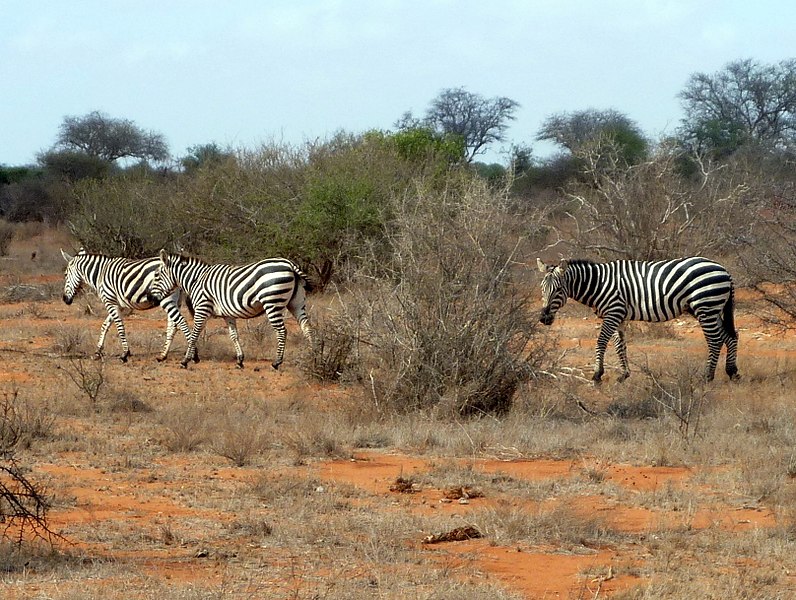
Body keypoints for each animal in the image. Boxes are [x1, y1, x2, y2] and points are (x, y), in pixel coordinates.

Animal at [60, 247, 194, 364]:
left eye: (65, 274)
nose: (65, 299)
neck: (100, 274)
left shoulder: (110, 301)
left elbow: (119, 326)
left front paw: (125, 353)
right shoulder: (117, 304)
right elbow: (105, 325)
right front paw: (98, 352)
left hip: (166, 299)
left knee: (181, 322)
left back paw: (191, 354)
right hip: (176, 301)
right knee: (173, 326)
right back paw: (163, 355)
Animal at [148, 250, 316, 370]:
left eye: (156, 275)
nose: (151, 297)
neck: (196, 280)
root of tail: (289, 263)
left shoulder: (202, 308)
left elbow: (194, 334)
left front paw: (185, 360)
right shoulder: (228, 315)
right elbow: (234, 335)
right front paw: (240, 361)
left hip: (272, 302)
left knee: (282, 331)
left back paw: (277, 362)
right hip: (296, 303)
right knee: (306, 327)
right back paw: (312, 356)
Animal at [536, 255, 740, 382]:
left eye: (558, 290)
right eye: (542, 289)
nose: (543, 318)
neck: (598, 284)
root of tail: (724, 270)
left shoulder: (613, 312)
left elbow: (601, 342)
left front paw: (597, 374)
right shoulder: (617, 315)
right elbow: (619, 345)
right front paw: (624, 374)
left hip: (706, 306)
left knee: (715, 340)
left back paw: (707, 377)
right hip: (711, 309)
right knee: (731, 337)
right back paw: (732, 372)